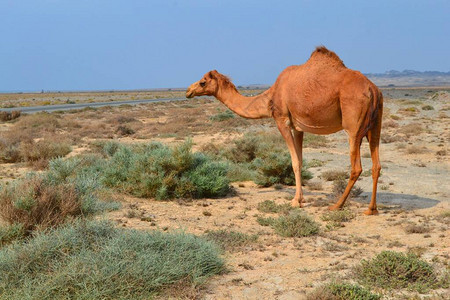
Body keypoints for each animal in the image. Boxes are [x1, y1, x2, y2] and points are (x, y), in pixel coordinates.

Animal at [185, 46, 382, 216]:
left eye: (202, 82)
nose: (188, 91)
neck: (270, 96)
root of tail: (372, 90)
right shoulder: (299, 127)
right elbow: (300, 161)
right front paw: (301, 199)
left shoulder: (282, 120)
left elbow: (294, 162)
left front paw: (295, 201)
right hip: (375, 124)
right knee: (376, 165)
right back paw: (371, 209)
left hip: (353, 126)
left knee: (356, 167)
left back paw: (337, 205)